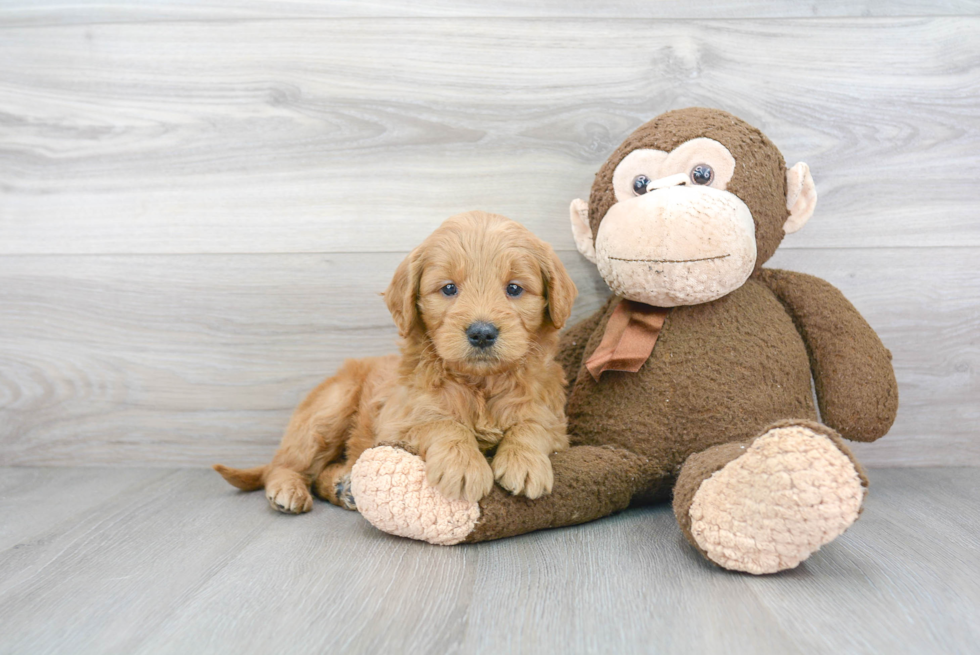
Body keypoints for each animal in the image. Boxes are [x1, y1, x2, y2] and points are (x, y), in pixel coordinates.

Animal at [216, 213, 576, 516]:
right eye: (449, 288)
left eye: (514, 288)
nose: (482, 333)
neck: (480, 383)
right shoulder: (398, 423)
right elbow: (443, 423)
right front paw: (463, 465)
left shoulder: (553, 421)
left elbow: (531, 426)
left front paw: (524, 462)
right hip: (328, 410)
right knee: (286, 464)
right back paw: (288, 490)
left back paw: (343, 487)